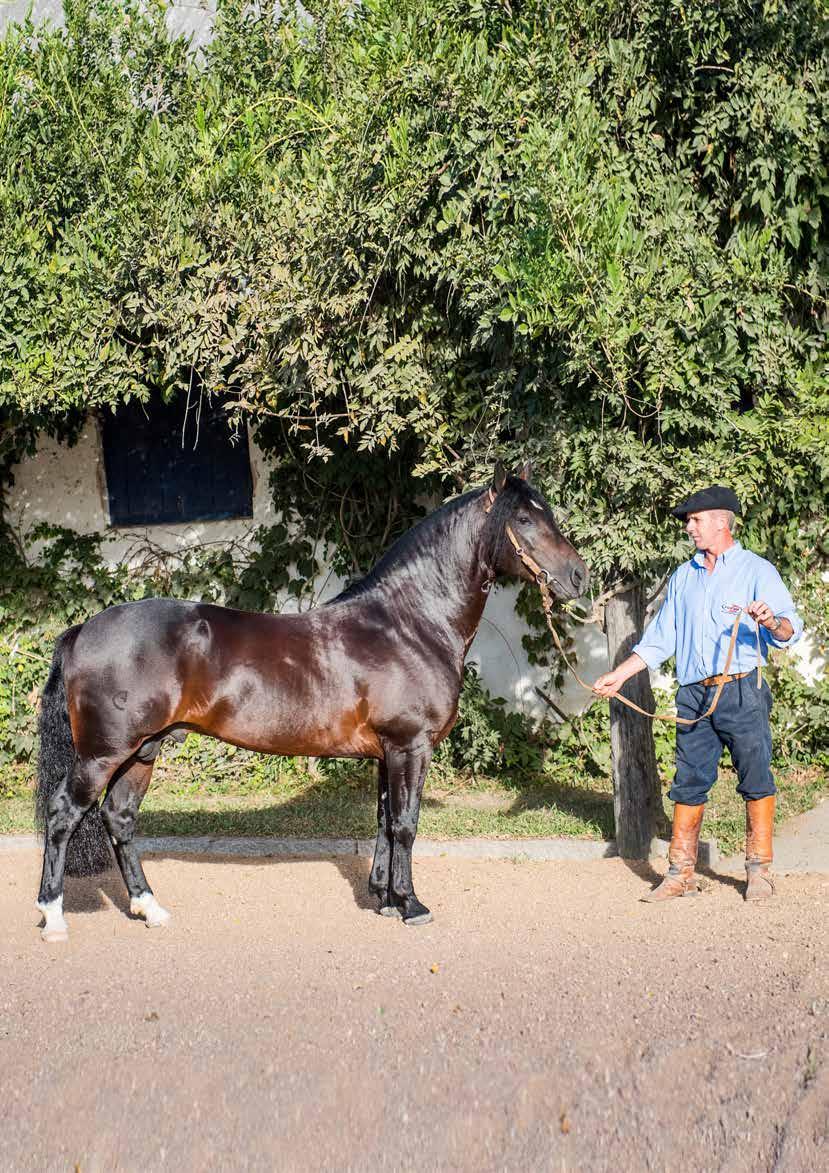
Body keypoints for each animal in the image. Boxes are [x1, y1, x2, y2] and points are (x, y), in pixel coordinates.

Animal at [35, 462, 586, 938]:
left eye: (548, 513)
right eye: (523, 519)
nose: (579, 576)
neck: (409, 624)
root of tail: (84, 628)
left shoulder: (386, 752)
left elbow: (384, 823)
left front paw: (384, 899)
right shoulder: (410, 746)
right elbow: (406, 825)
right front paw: (412, 905)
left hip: (142, 752)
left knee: (119, 818)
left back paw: (149, 908)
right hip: (102, 754)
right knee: (63, 815)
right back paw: (53, 917)